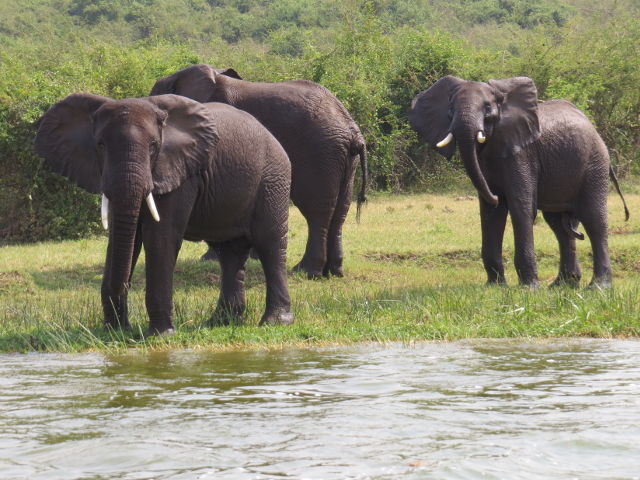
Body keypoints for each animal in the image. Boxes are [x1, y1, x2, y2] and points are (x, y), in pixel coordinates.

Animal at [35, 92, 292, 336]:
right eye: (100, 145)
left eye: (152, 146)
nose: (122, 327)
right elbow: (124, 238)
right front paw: (115, 331)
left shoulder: (180, 172)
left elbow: (159, 236)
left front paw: (160, 335)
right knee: (229, 252)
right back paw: (220, 323)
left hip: (273, 179)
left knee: (269, 243)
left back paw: (275, 322)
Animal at [150, 65, 368, 280]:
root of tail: (352, 130)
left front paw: (210, 259)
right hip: (344, 159)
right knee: (340, 210)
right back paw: (334, 271)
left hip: (320, 154)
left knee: (317, 211)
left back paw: (306, 271)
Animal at [410, 73, 632, 286]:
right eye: (450, 110)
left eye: (488, 108)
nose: (496, 196)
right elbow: (490, 213)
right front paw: (495, 287)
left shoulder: (522, 155)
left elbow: (520, 206)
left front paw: (528, 288)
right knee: (559, 225)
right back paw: (563, 286)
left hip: (595, 165)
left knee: (594, 220)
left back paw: (598, 287)